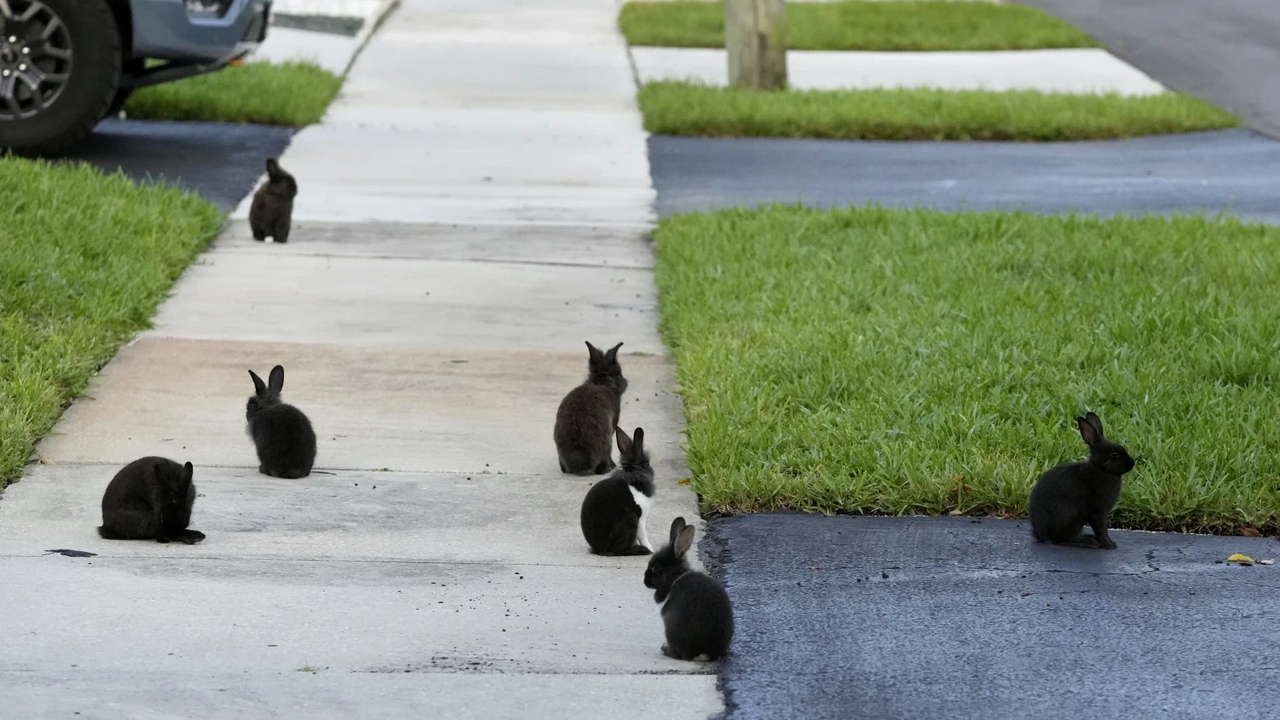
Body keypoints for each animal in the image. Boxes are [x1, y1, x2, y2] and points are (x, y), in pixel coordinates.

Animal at [583, 425, 660, 556]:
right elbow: (642, 536)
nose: (653, 471)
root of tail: (601, 549)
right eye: (647, 463)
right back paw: (641, 550)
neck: (633, 476)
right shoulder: (641, 518)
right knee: (620, 550)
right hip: (631, 519)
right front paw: (651, 549)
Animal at [645, 512, 737, 661]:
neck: (675, 577)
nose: (645, 581)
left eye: (657, 568)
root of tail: (705, 653)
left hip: (671, 627)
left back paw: (666, 649)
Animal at [1024, 412, 1136, 545]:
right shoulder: (1098, 512)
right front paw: (1108, 545)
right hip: (1069, 514)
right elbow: (1100, 528)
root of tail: (1041, 535)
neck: (1100, 468)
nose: (1132, 463)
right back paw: (1087, 541)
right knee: (1061, 539)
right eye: (1114, 454)